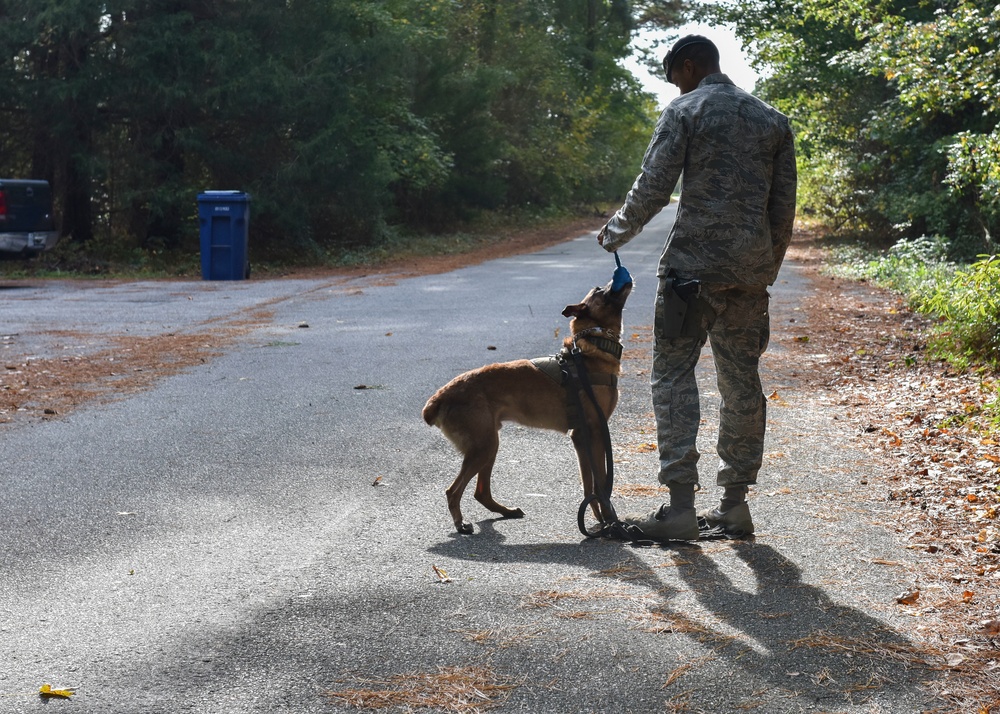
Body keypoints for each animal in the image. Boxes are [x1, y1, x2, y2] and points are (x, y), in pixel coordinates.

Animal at [422, 278, 632, 536]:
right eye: (600, 290)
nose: (620, 278)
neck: (589, 351)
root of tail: (439, 397)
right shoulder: (593, 433)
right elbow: (600, 485)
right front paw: (610, 522)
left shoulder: (582, 438)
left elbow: (589, 485)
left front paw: (600, 521)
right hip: (483, 447)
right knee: (453, 491)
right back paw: (461, 523)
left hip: (489, 445)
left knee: (481, 492)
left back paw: (506, 511)